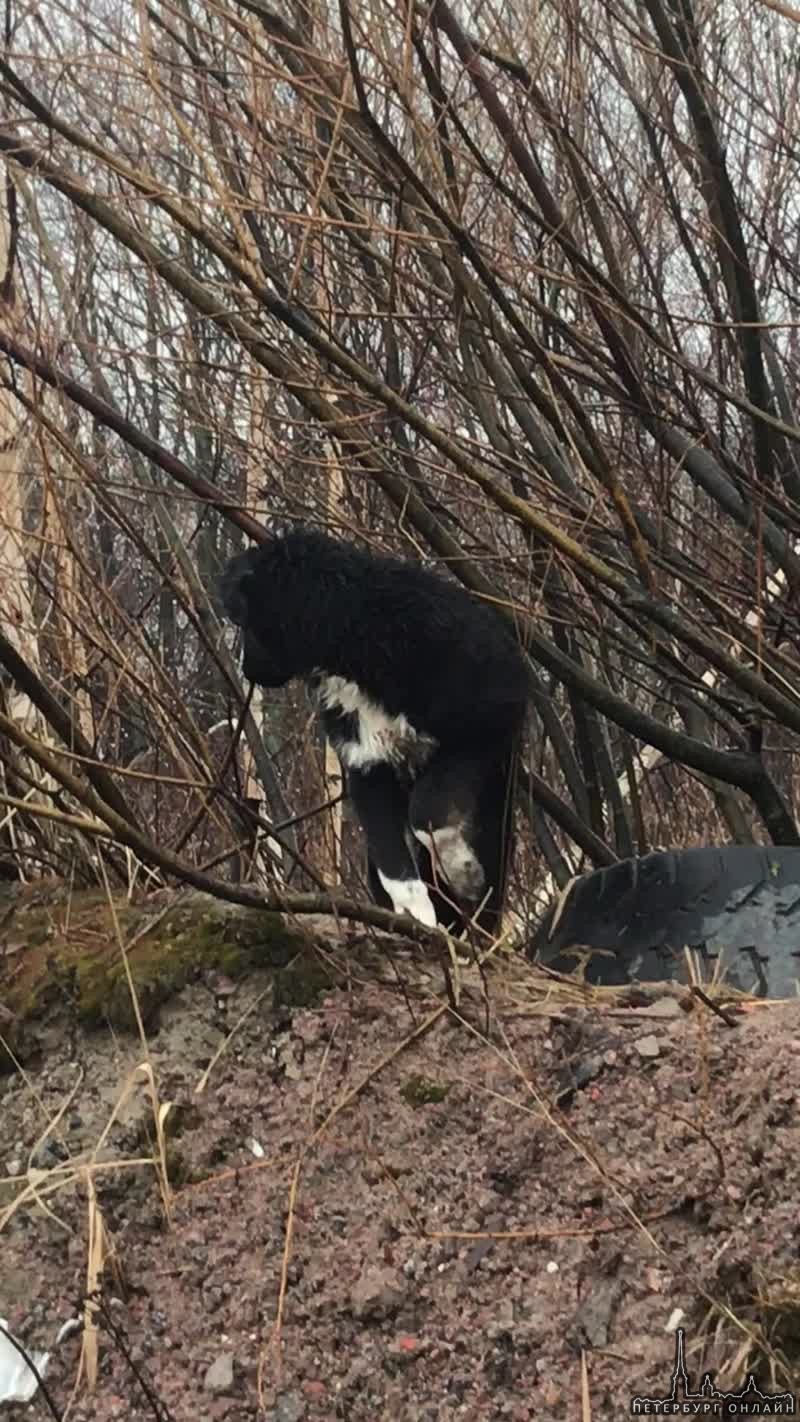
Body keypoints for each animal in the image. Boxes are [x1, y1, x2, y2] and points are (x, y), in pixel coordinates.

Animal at [220, 531, 531, 932]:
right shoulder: (366, 761)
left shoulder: (484, 724)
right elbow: (388, 848)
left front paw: (461, 872)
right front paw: (415, 911)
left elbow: (427, 811)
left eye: (248, 623)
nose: (247, 671)